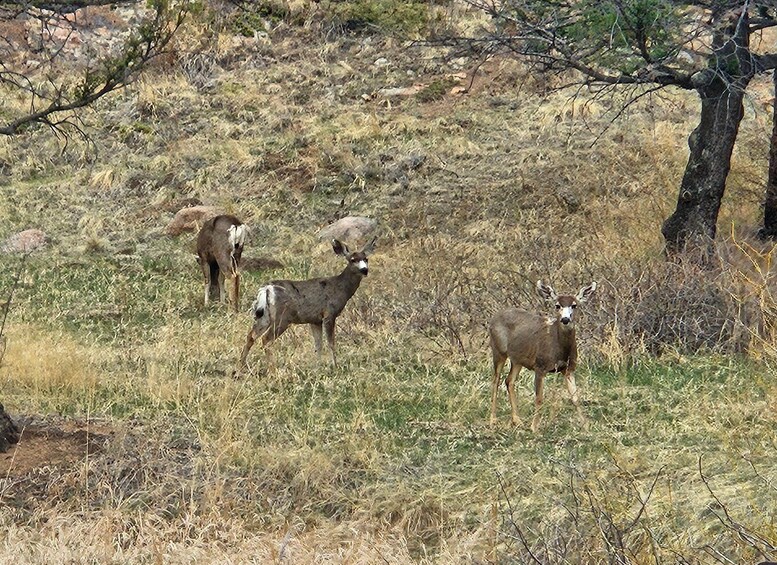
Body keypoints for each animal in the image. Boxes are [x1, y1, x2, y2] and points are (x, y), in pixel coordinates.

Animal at [236, 236, 376, 372]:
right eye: (352, 260)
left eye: (366, 259)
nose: (365, 270)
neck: (340, 288)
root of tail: (267, 289)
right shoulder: (329, 314)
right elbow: (331, 343)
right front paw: (335, 366)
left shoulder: (315, 320)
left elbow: (318, 345)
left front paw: (318, 367)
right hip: (283, 317)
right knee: (266, 340)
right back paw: (272, 370)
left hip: (264, 316)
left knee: (251, 336)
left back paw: (240, 368)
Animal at [488, 278, 596, 432]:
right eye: (557, 305)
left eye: (574, 305)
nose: (565, 319)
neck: (559, 350)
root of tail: (494, 317)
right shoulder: (540, 366)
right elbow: (539, 398)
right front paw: (534, 427)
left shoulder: (569, 368)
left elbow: (575, 397)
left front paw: (586, 426)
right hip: (498, 350)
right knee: (495, 381)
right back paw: (493, 420)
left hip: (518, 359)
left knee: (509, 381)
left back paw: (517, 420)